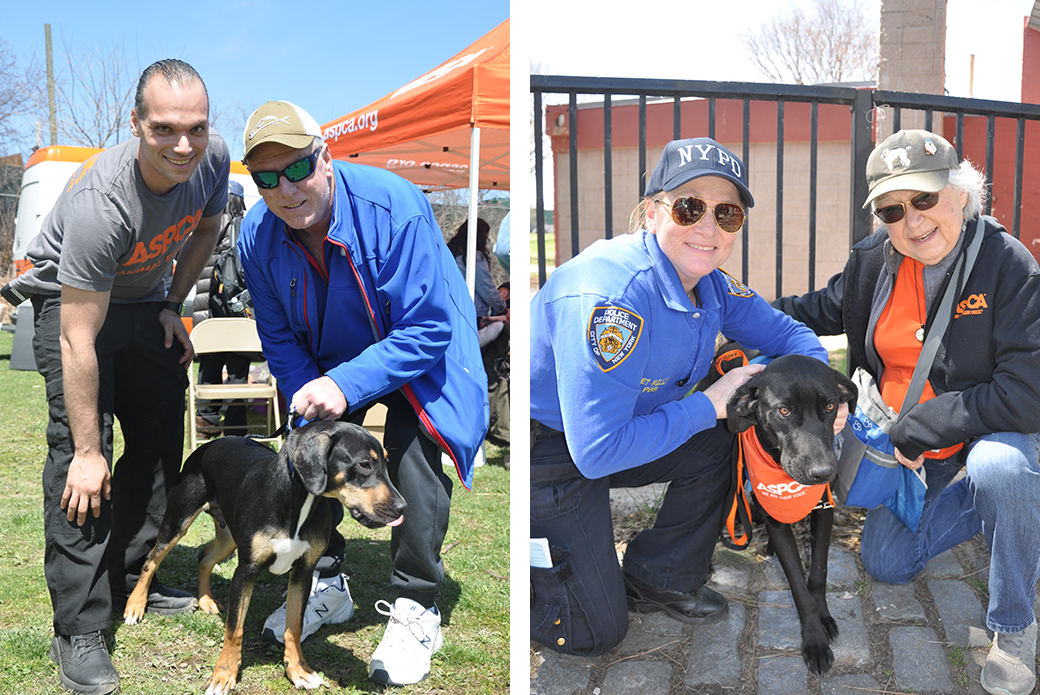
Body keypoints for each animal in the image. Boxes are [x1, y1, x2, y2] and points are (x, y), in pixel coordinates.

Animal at [123, 420, 407, 695]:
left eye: (386, 462)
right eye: (364, 464)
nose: (403, 507)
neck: (297, 500)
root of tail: (211, 444)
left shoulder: (303, 572)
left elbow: (294, 627)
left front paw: (298, 670)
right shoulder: (245, 571)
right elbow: (234, 630)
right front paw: (223, 675)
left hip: (228, 538)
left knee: (204, 558)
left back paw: (206, 601)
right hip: (178, 521)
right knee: (151, 560)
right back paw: (135, 606)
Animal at [728, 353, 856, 674]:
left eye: (830, 406)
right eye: (784, 410)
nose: (823, 472)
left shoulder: (825, 510)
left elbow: (818, 572)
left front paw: (823, 617)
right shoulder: (775, 520)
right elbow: (798, 585)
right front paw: (814, 641)